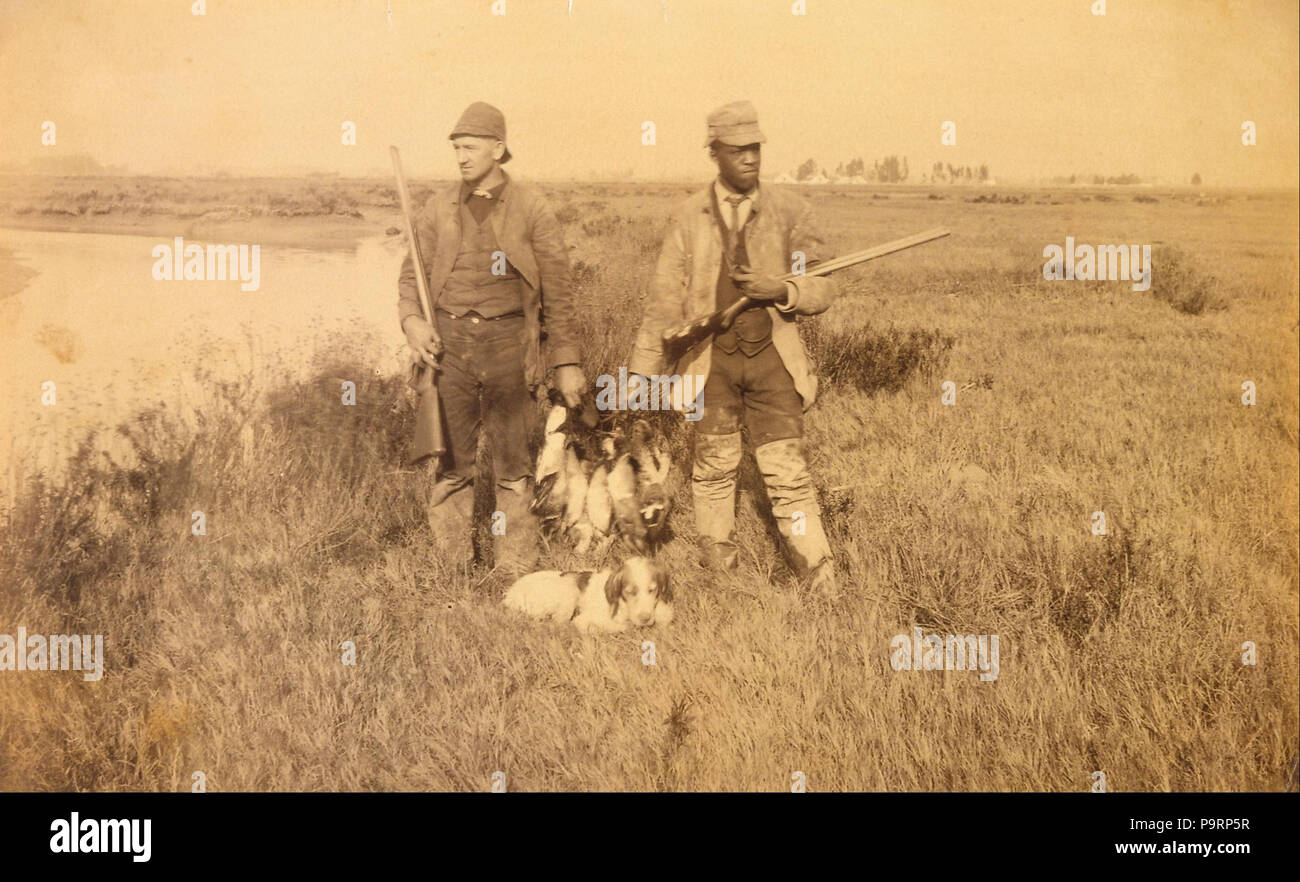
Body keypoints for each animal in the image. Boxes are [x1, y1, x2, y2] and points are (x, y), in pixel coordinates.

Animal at [501, 556, 676, 632]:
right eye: (629, 592)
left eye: (652, 590)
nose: (645, 618)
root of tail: (511, 593)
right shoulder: (583, 619)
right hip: (568, 588)